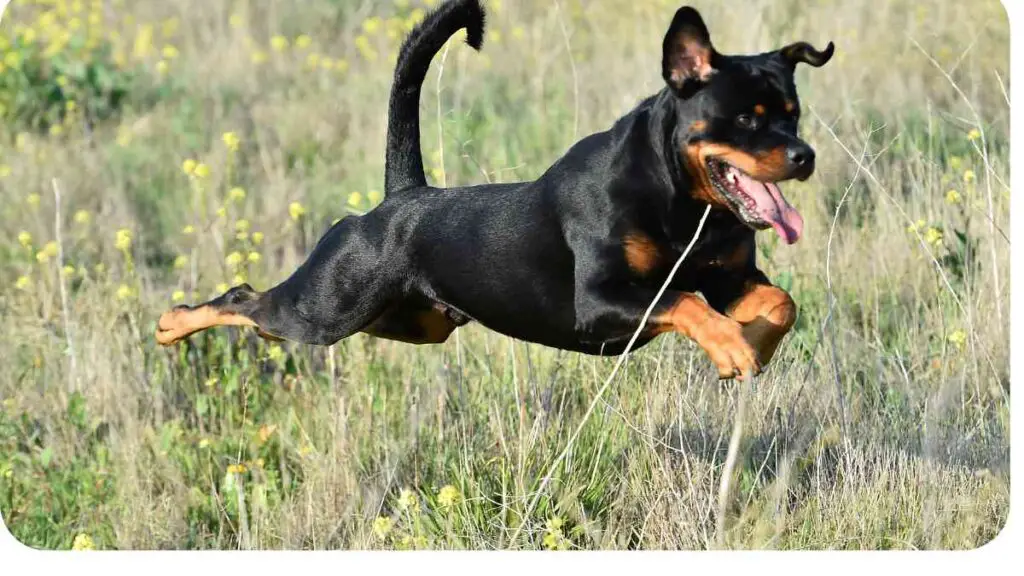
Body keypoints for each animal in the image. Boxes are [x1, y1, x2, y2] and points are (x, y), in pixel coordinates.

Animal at [157, 1, 831, 381]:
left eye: (794, 114)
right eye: (745, 118)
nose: (805, 157)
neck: (683, 202)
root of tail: (400, 198)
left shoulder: (730, 278)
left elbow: (781, 303)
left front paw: (752, 346)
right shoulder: (600, 302)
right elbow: (686, 303)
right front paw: (732, 350)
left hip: (406, 321)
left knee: (263, 318)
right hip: (327, 306)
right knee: (246, 299)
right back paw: (170, 324)